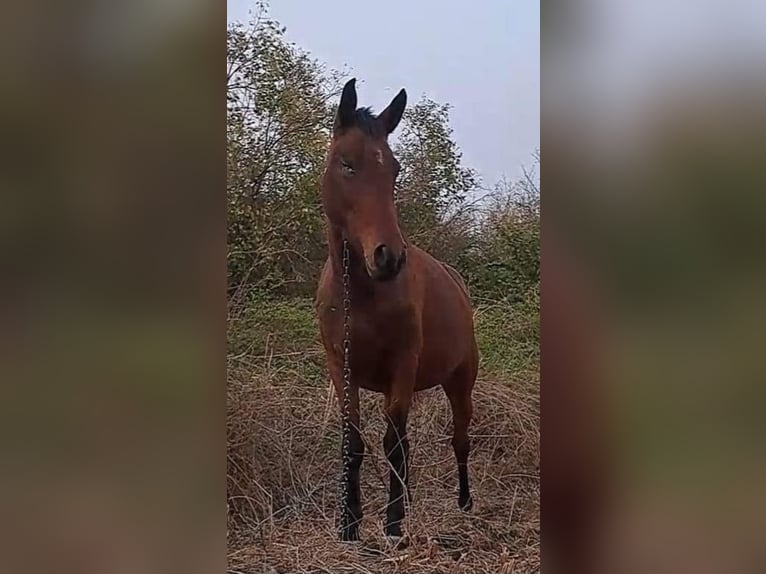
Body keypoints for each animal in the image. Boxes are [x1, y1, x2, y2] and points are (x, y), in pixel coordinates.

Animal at [316, 77, 476, 544]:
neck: (361, 297)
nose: (388, 257)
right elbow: (354, 443)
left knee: (460, 439)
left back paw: (464, 502)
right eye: (347, 164)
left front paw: (392, 523)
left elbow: (394, 443)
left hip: (461, 381)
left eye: (395, 169)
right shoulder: (341, 367)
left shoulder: (403, 366)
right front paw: (349, 524)